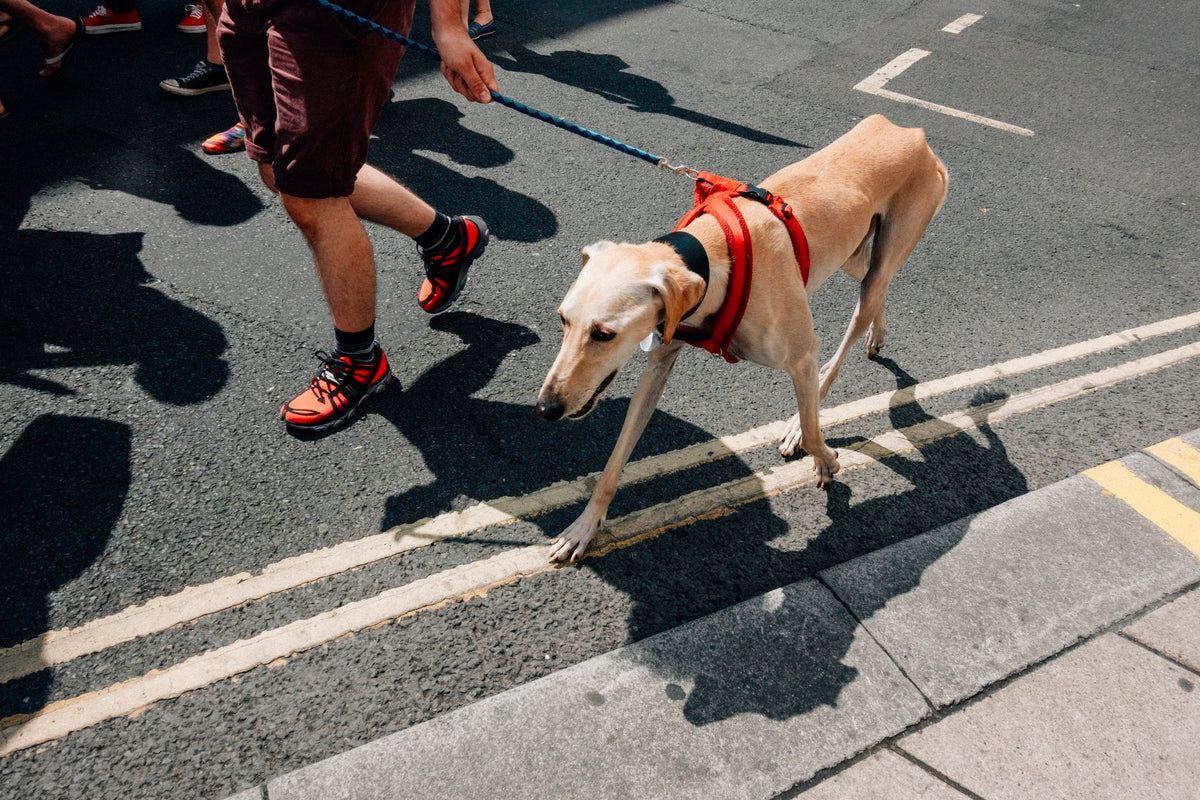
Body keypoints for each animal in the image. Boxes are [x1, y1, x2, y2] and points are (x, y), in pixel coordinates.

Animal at [535, 113, 945, 563]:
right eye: (562, 319)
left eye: (604, 333)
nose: (546, 408)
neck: (715, 256)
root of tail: (910, 133)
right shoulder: (659, 362)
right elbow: (614, 462)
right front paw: (584, 527)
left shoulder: (802, 354)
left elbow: (812, 423)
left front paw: (824, 459)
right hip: (854, 254)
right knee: (878, 285)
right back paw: (878, 333)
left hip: (891, 242)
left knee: (845, 342)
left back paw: (808, 417)